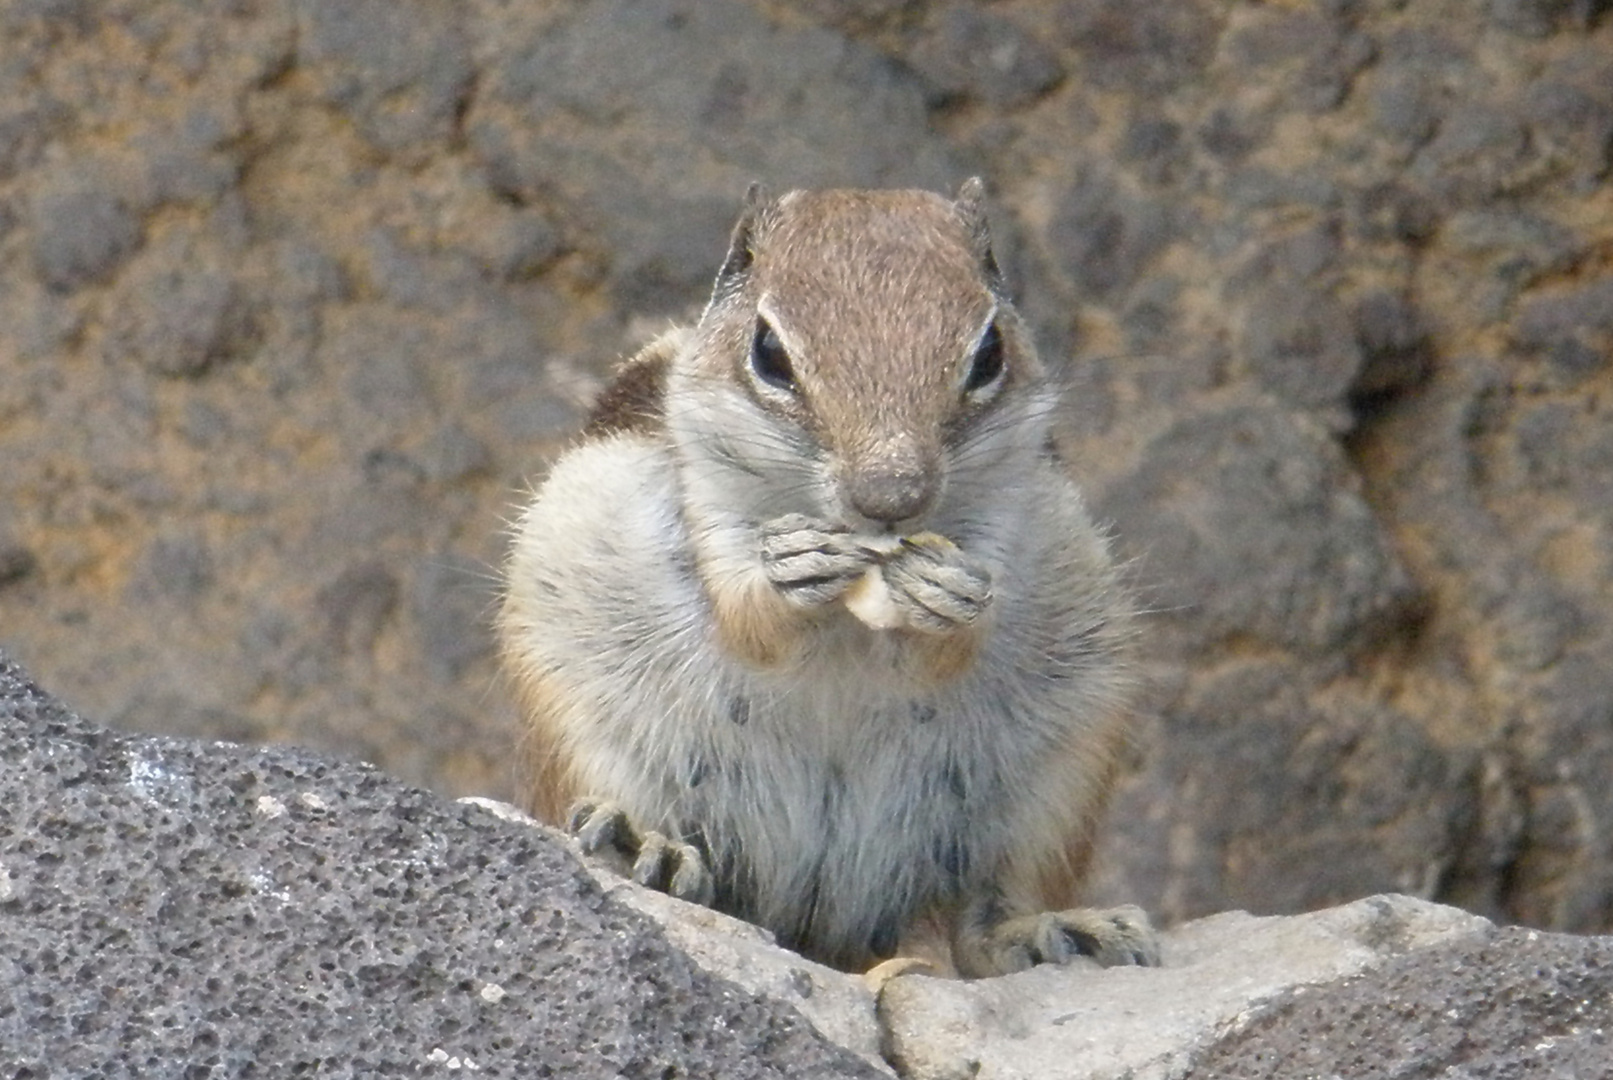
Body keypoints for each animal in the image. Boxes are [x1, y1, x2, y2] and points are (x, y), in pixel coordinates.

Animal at [496, 179, 1154, 980]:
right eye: (769, 354)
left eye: (989, 353)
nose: (891, 495)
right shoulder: (703, 493)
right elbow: (744, 616)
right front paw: (791, 572)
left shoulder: (1014, 501)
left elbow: (962, 634)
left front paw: (947, 596)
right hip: (578, 725)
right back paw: (643, 843)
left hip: (1058, 779)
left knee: (984, 911)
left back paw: (1050, 930)